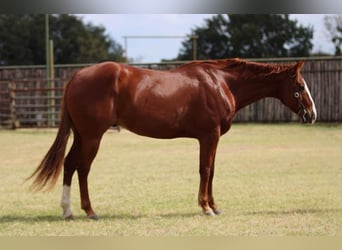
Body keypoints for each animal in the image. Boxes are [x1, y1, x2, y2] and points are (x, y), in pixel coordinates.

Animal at [28, 58, 316, 219]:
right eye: (301, 87)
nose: (312, 115)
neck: (221, 83)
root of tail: (77, 76)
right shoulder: (208, 136)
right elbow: (205, 170)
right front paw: (206, 207)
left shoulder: (211, 139)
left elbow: (211, 171)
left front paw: (214, 206)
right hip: (92, 137)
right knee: (82, 168)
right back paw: (88, 211)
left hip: (82, 135)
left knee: (69, 165)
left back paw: (68, 210)